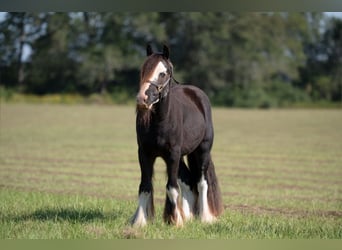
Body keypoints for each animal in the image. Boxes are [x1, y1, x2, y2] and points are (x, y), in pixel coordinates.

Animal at [132, 45, 224, 227]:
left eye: (162, 73)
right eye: (143, 69)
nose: (142, 98)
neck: (160, 122)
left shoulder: (172, 155)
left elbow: (172, 187)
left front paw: (174, 220)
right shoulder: (144, 154)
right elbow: (145, 186)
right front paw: (139, 222)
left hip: (202, 151)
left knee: (201, 182)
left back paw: (204, 217)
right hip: (181, 156)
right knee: (188, 181)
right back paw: (188, 216)